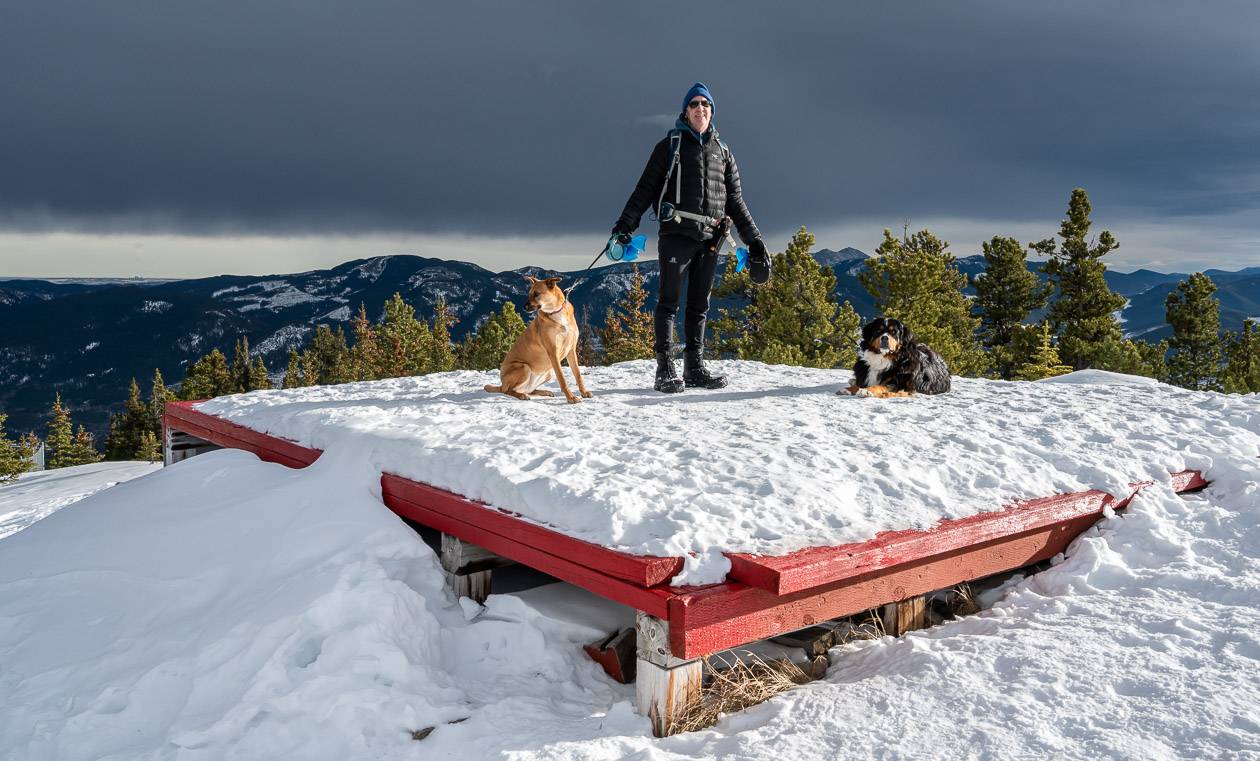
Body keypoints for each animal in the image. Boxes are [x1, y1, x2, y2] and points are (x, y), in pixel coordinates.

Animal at [483, 273, 597, 403]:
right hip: (524, 367)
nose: (524, 307)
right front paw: (571, 397)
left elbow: (578, 375)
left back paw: (544, 392)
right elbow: (562, 378)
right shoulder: (553, 352)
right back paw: (522, 396)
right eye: (529, 294)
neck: (555, 312)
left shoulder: (571, 350)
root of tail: (502, 383)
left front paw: (584, 393)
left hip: (548, 373)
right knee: (507, 390)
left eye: (536, 294)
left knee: (529, 389)